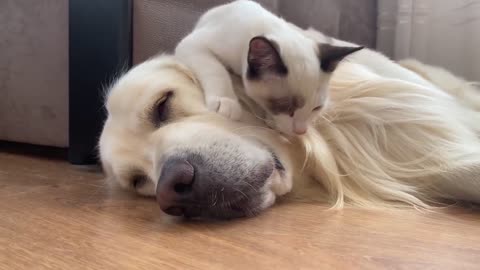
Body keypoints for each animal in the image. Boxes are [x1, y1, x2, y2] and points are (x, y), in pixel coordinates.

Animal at [174, 0, 362, 135]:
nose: (301, 132)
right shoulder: (192, 44)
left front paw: (272, 121)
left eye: (316, 108)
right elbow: (217, 70)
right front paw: (226, 101)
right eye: (287, 108)